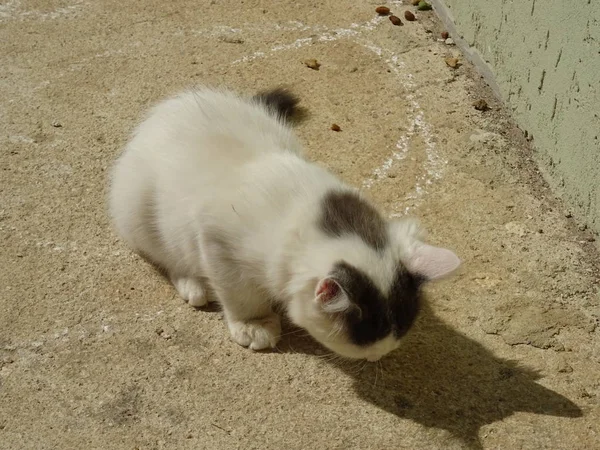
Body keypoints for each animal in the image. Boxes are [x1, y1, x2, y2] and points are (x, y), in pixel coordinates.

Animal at [110, 87, 462, 362]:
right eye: (365, 340)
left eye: (400, 331)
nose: (381, 355)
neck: (306, 218)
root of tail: (165, 110)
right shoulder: (217, 241)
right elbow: (239, 292)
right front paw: (254, 324)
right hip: (138, 208)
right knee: (163, 253)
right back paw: (193, 283)